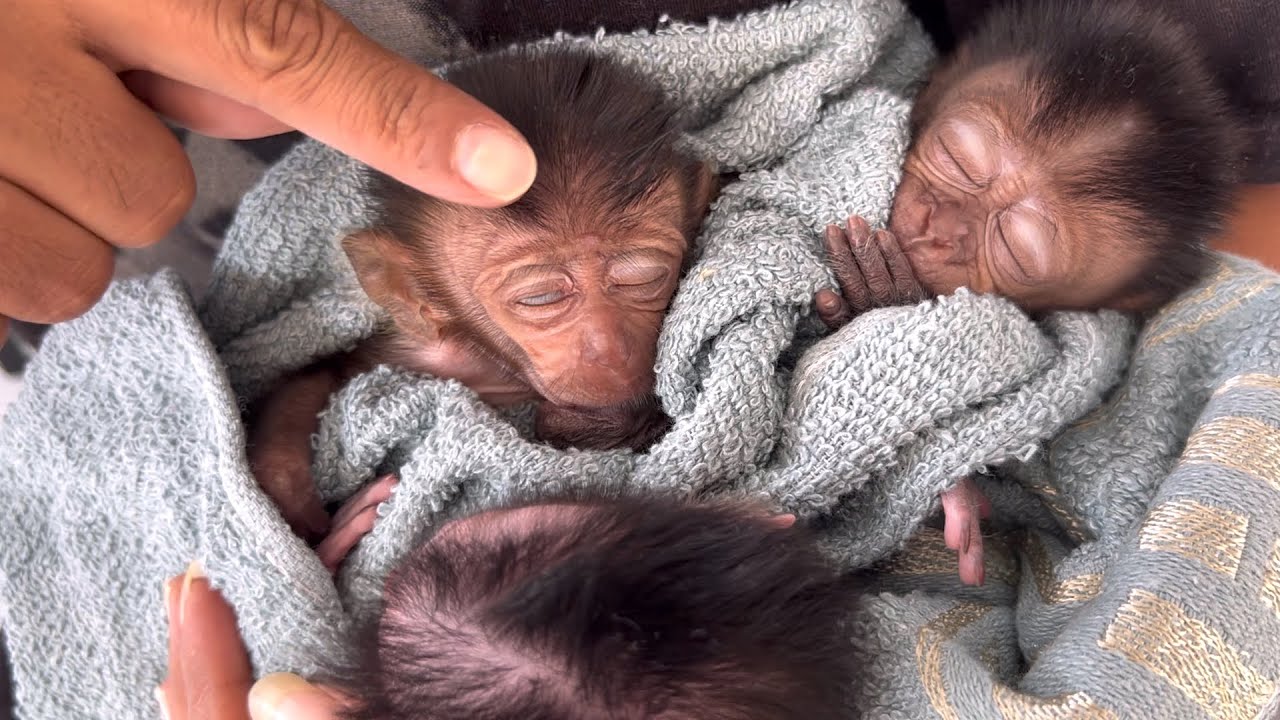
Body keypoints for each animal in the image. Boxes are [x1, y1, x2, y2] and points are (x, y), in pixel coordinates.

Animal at [247, 47, 717, 542]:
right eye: (540, 297)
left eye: (642, 277)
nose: (609, 349)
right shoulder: (411, 355)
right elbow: (330, 371)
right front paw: (288, 491)